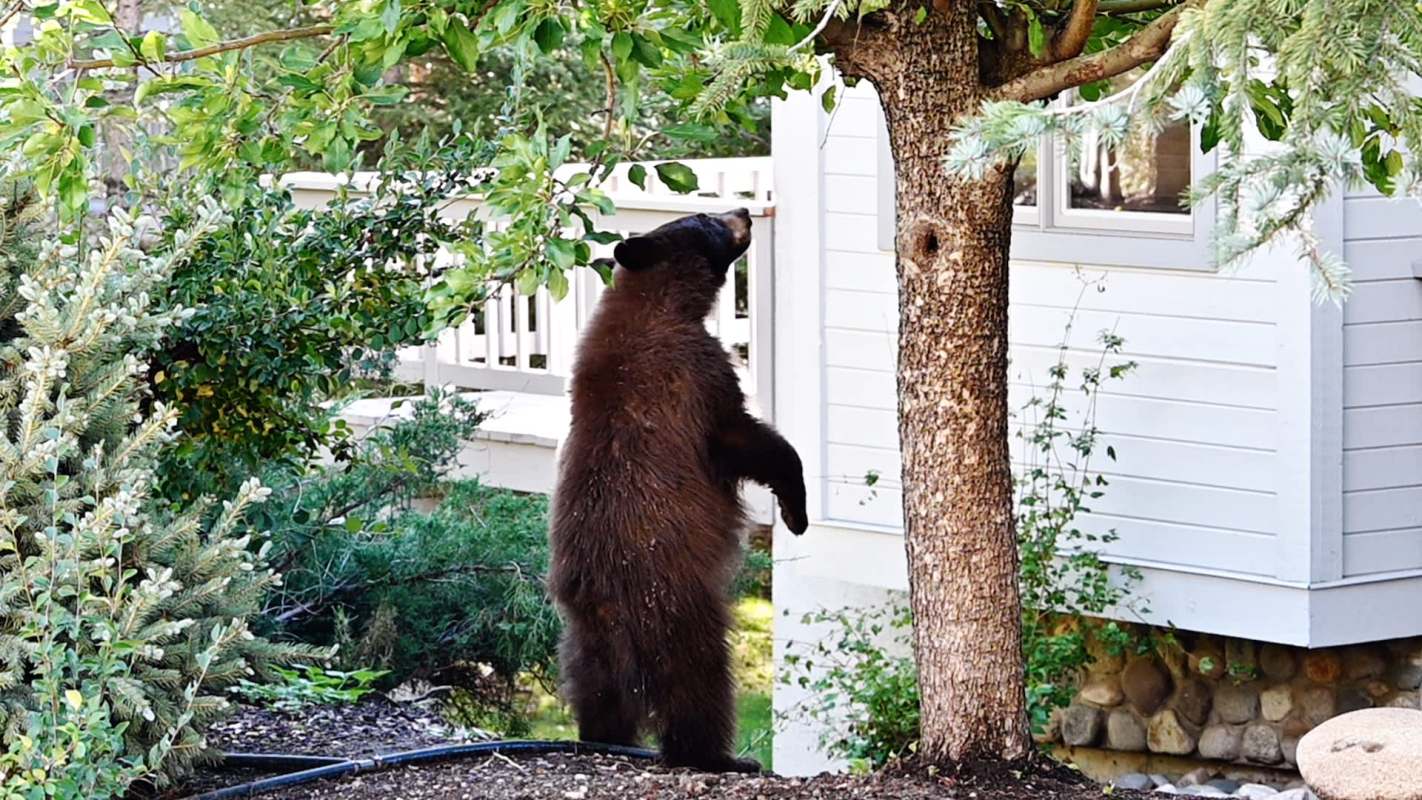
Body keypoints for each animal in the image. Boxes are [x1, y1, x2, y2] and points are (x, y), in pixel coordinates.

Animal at [548, 208, 808, 773]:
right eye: (704, 217)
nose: (744, 210)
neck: (660, 301)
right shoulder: (696, 372)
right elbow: (744, 438)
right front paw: (795, 510)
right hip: (677, 612)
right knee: (700, 687)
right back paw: (722, 757)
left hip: (582, 640)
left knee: (595, 692)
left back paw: (604, 738)